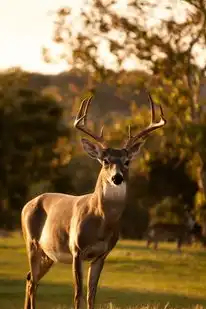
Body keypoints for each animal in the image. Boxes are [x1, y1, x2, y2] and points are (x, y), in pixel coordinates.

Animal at [20, 92, 166, 308]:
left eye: (127, 161)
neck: (101, 222)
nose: (117, 178)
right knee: (33, 281)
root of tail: (27, 205)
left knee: (30, 278)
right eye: (105, 161)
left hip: (48, 253)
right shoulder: (76, 250)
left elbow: (92, 294)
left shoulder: (101, 254)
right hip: (31, 242)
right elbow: (78, 294)